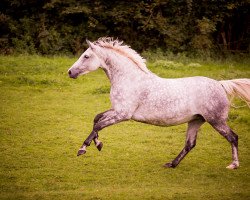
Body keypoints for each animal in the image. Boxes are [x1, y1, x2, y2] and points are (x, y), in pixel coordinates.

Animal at [67, 37, 249, 169]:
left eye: (86, 56)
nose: (70, 72)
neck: (129, 79)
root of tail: (220, 84)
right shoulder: (117, 110)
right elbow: (96, 119)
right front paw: (98, 144)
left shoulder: (123, 114)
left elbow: (99, 125)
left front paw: (83, 149)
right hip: (196, 120)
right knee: (190, 144)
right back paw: (171, 164)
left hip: (216, 120)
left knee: (233, 137)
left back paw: (233, 165)